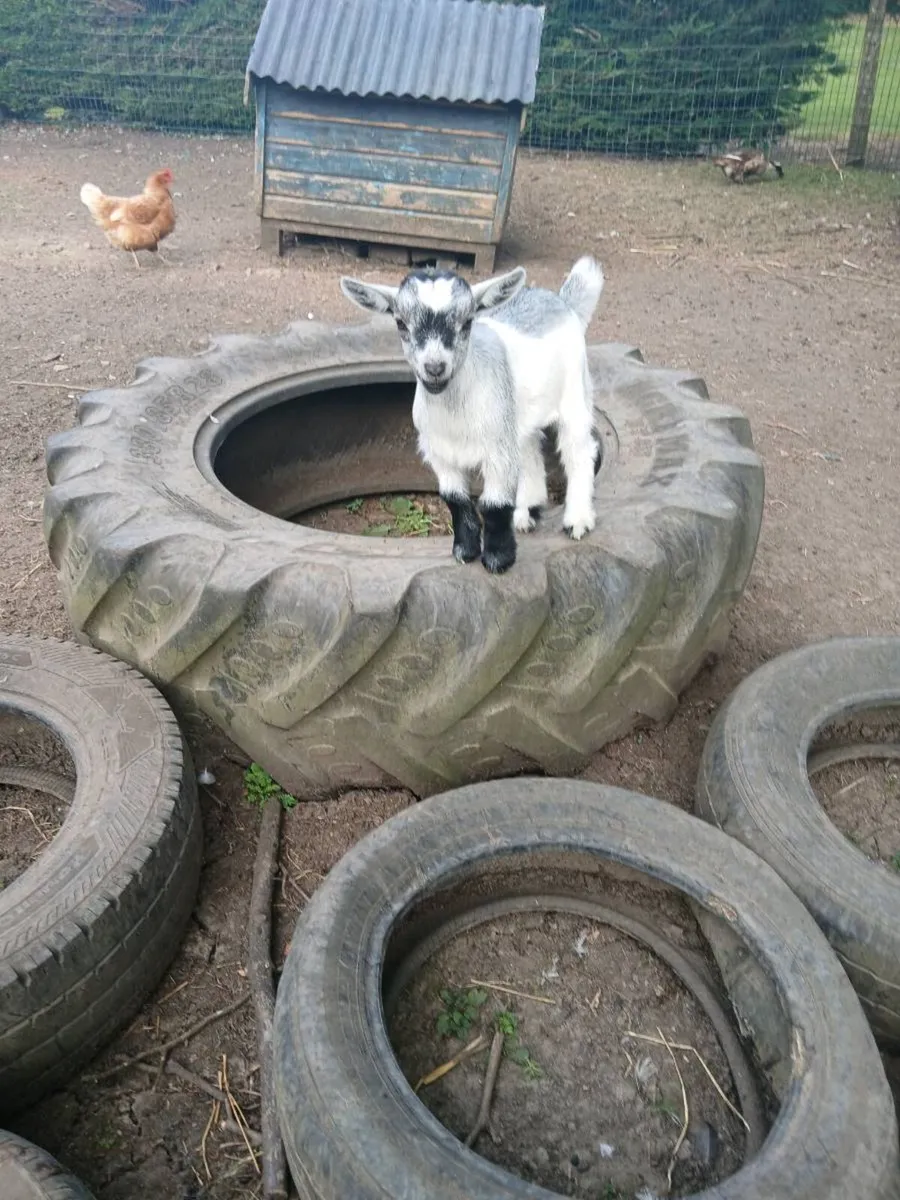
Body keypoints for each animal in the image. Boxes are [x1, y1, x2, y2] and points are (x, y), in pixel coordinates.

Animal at [340, 256, 604, 574]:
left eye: (467, 322)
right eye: (401, 322)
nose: (435, 367)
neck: (455, 414)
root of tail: (561, 301)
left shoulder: (497, 452)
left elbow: (494, 504)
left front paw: (498, 560)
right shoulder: (441, 453)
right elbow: (455, 499)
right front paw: (464, 551)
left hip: (575, 397)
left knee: (580, 453)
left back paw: (577, 520)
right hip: (517, 419)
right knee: (531, 451)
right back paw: (526, 513)